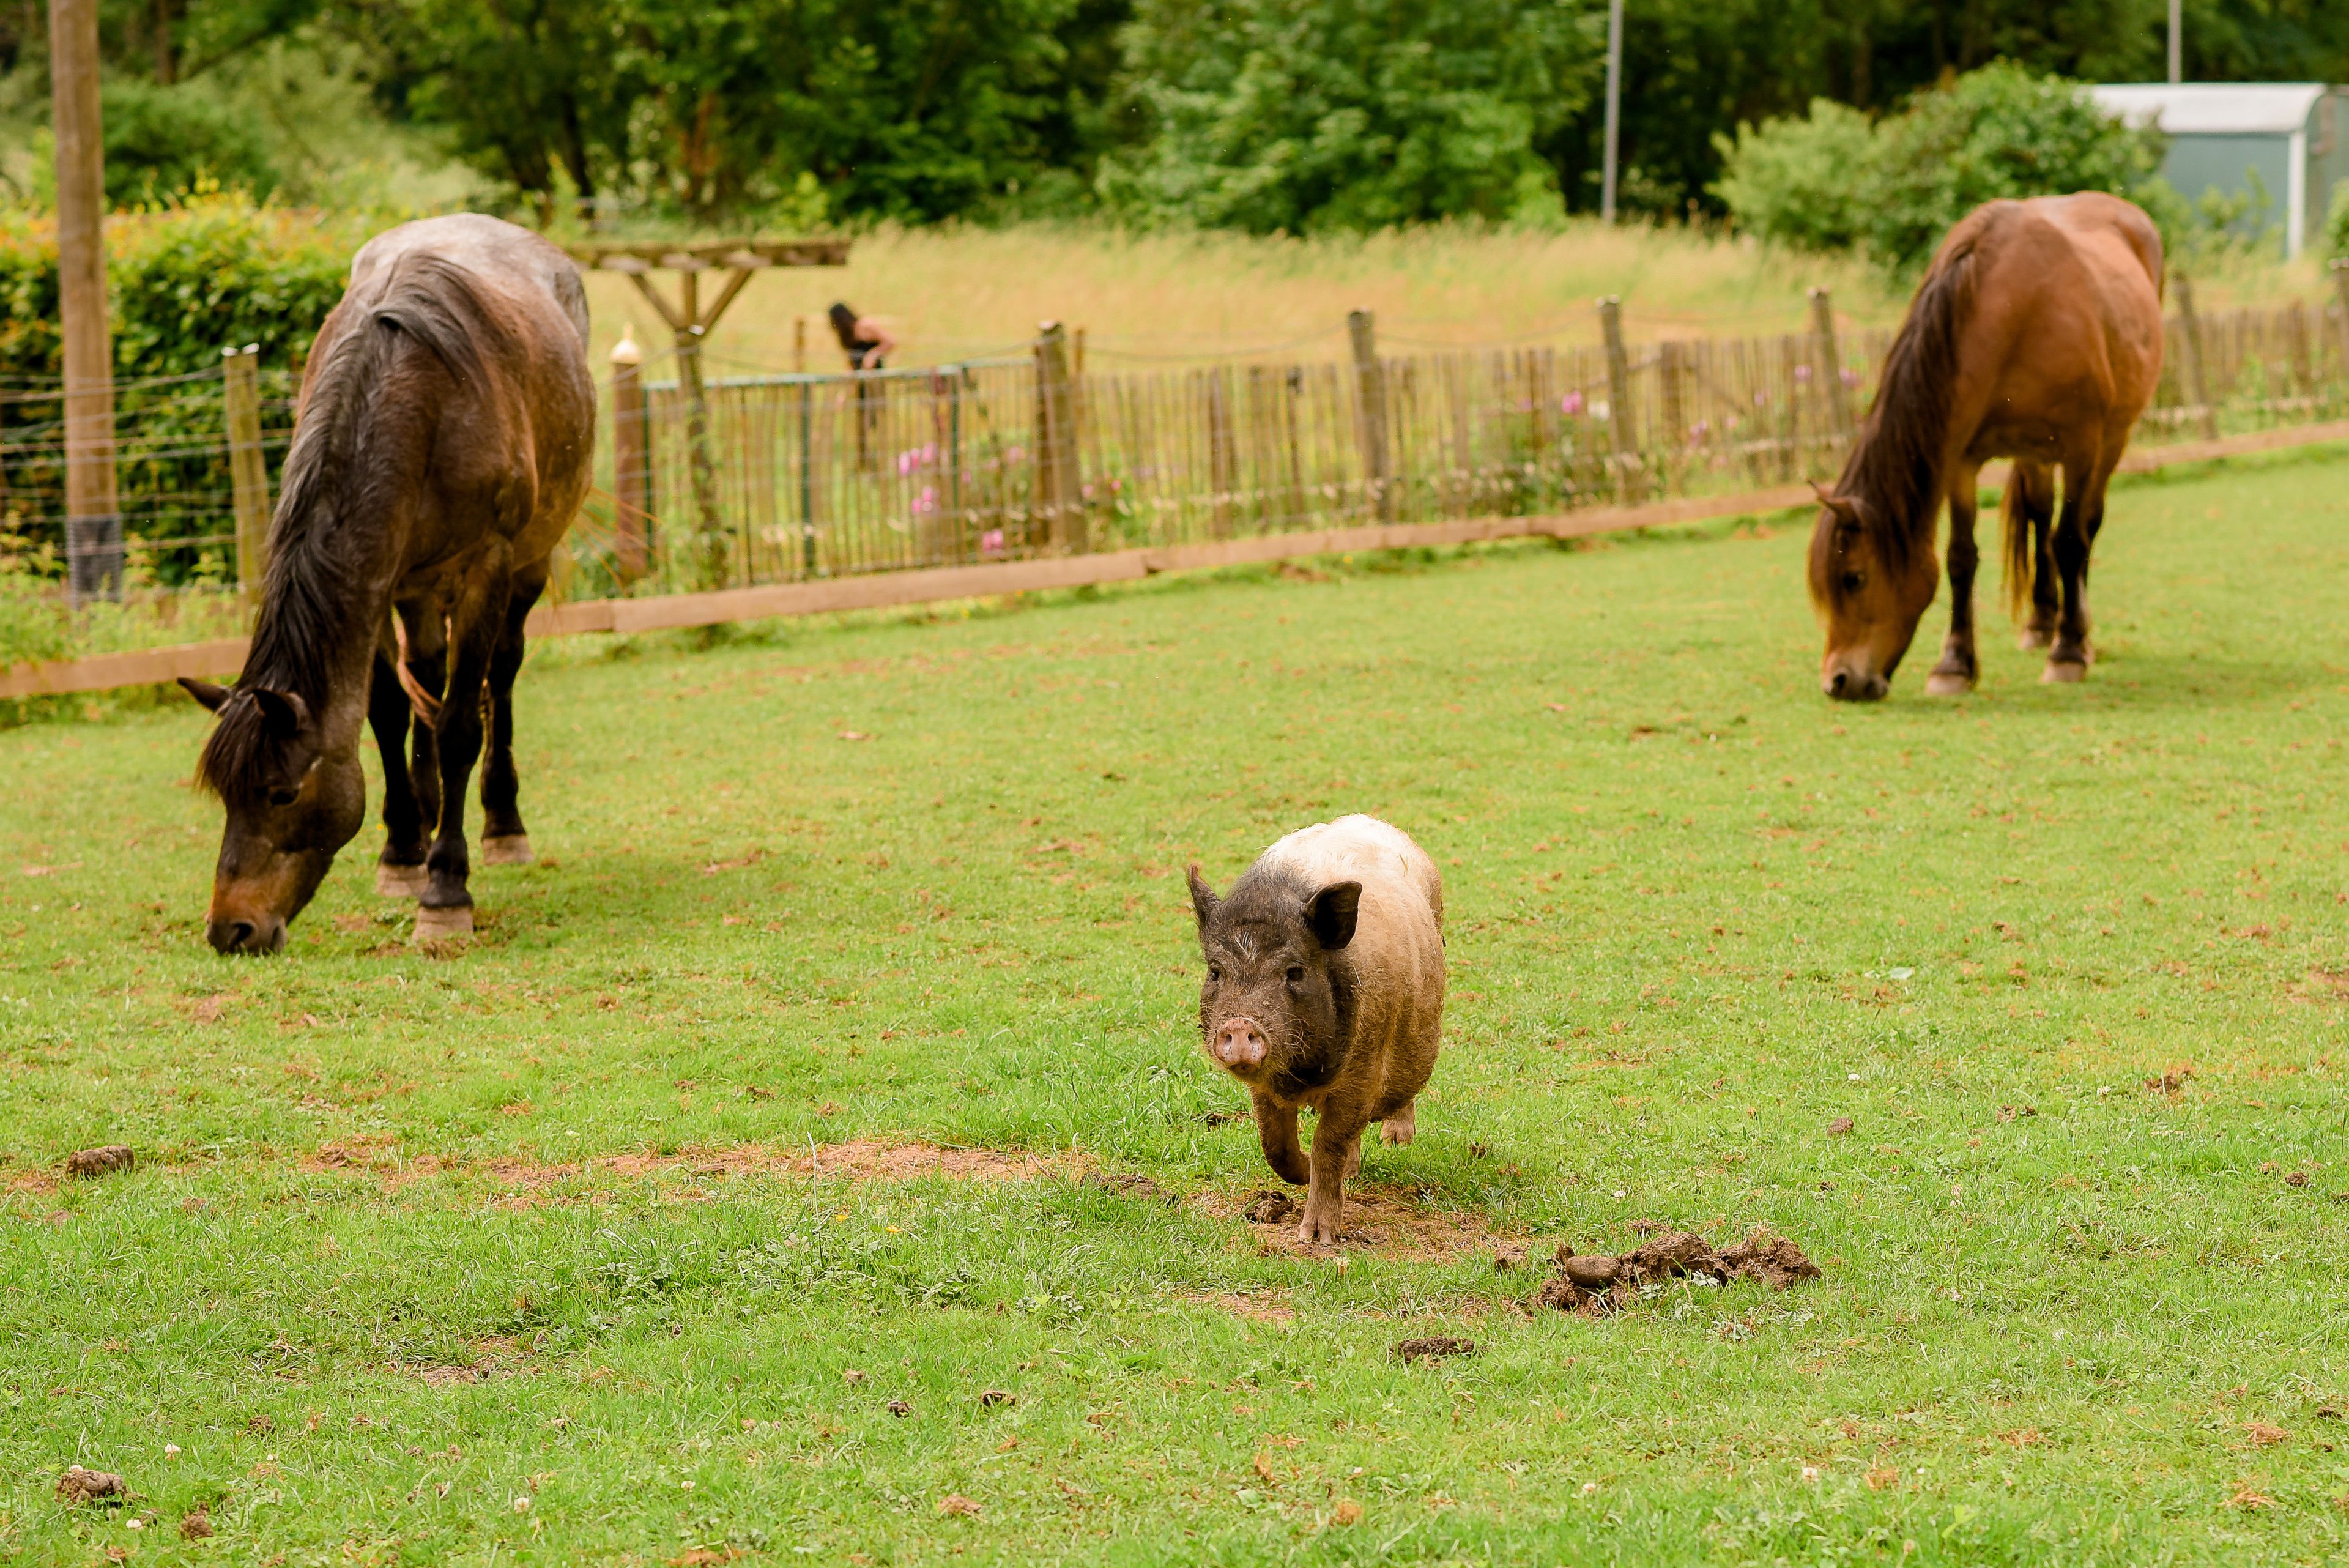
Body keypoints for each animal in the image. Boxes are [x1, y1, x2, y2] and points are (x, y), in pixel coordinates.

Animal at [179, 214, 594, 952]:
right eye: (226, 795)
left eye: (282, 793)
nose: (232, 928)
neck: (411, 394)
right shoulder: (373, 583)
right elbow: (387, 712)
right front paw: (403, 850)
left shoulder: (486, 567)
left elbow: (460, 726)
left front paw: (446, 890)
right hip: (418, 590)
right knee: (425, 674)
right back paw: (426, 817)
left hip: (526, 567)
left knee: (501, 677)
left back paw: (501, 824)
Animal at [1186, 814, 1445, 1244]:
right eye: (1216, 972)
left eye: (1295, 972)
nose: (1240, 1025)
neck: (1302, 1077)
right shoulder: (1264, 1088)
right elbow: (1275, 1145)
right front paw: (1305, 1173)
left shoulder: (1363, 1068)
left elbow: (1329, 1142)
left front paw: (1316, 1238)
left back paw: (1396, 1142)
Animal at [1808, 192, 2164, 702]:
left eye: (1854, 578)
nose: (1839, 682)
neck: (2015, 313)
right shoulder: (1961, 459)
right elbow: (1961, 557)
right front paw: (1953, 665)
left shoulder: (2081, 446)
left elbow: (2071, 540)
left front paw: (2069, 653)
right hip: (2034, 454)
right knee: (2040, 517)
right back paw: (2042, 623)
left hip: (2112, 439)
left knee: (2085, 526)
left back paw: (2077, 633)